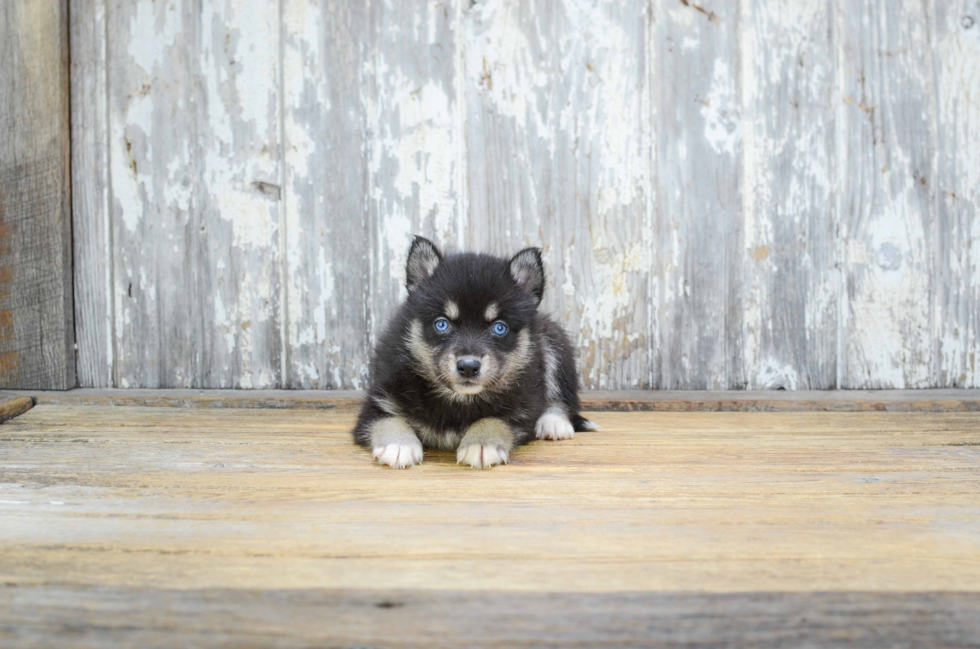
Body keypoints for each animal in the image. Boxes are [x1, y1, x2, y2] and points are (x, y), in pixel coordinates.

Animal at [352, 235, 596, 468]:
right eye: (441, 324)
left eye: (499, 327)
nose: (468, 367)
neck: (459, 400)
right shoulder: (379, 399)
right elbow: (388, 419)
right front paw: (398, 445)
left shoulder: (521, 409)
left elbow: (494, 419)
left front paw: (481, 443)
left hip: (553, 343)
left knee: (561, 397)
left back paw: (553, 422)